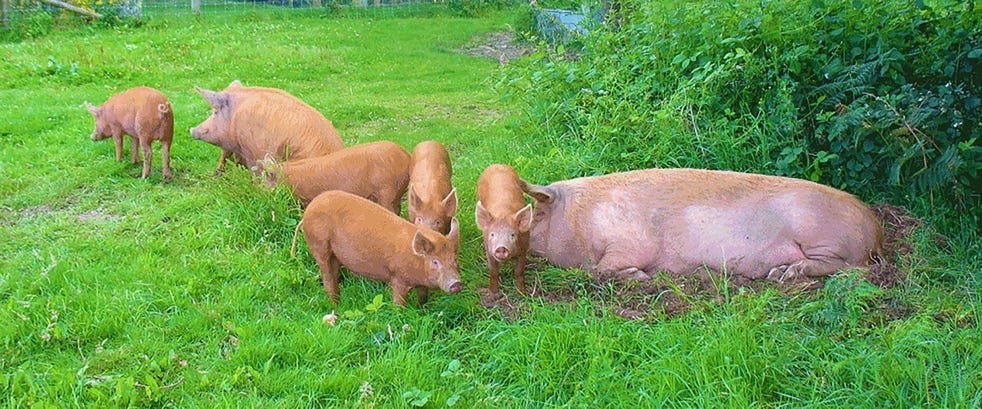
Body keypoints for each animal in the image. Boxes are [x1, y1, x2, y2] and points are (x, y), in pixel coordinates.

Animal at [301, 190, 463, 306]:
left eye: (454, 259)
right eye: (435, 261)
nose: (456, 283)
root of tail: (309, 209)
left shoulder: (422, 284)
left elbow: (423, 297)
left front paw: (423, 309)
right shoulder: (398, 278)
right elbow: (398, 302)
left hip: (334, 254)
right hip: (318, 244)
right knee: (327, 276)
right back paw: (335, 306)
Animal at [476, 164, 534, 294]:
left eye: (513, 234)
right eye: (492, 234)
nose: (501, 248)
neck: (504, 213)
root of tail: (497, 164)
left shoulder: (524, 249)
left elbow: (519, 272)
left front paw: (522, 293)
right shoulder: (489, 250)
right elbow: (493, 272)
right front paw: (493, 294)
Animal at [521, 168, 884, 283]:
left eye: (536, 214)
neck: (580, 219)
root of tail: (874, 227)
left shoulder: (630, 244)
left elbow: (601, 269)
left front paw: (642, 277)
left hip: (821, 234)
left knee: (849, 266)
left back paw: (782, 274)